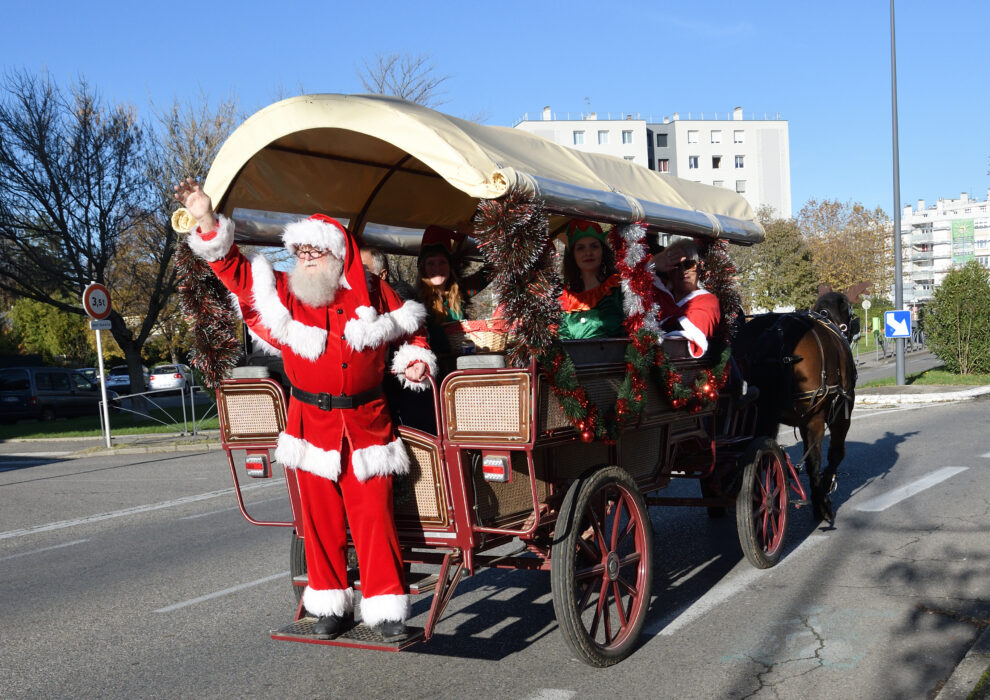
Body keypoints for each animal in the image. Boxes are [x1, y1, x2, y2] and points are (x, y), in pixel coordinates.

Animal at [736, 292, 860, 524]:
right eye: (849, 312)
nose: (856, 325)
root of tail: (777, 334)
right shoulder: (841, 410)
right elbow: (834, 454)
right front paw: (824, 493)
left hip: (763, 415)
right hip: (814, 418)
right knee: (814, 459)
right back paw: (819, 503)